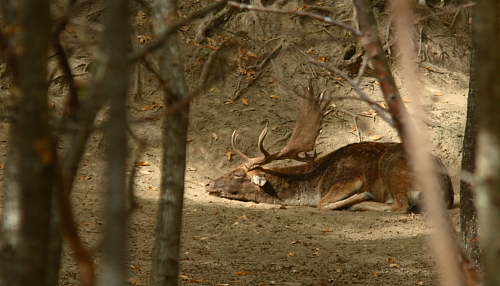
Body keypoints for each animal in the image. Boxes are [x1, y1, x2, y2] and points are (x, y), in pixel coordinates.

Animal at [205, 82, 456, 212]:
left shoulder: (348, 177)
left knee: (401, 206)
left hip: (396, 170)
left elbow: (322, 204)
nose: (208, 183)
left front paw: (360, 197)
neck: (313, 184)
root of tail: (447, 190)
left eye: (238, 175)